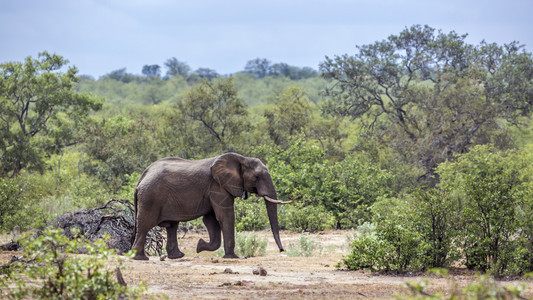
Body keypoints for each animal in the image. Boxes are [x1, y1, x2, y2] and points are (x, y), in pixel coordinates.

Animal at [132, 154, 290, 258]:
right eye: (257, 177)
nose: (282, 251)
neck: (241, 158)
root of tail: (141, 179)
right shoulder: (218, 186)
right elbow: (225, 216)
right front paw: (232, 257)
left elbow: (211, 220)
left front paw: (199, 246)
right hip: (150, 197)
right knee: (145, 225)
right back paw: (140, 258)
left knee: (172, 226)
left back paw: (178, 256)